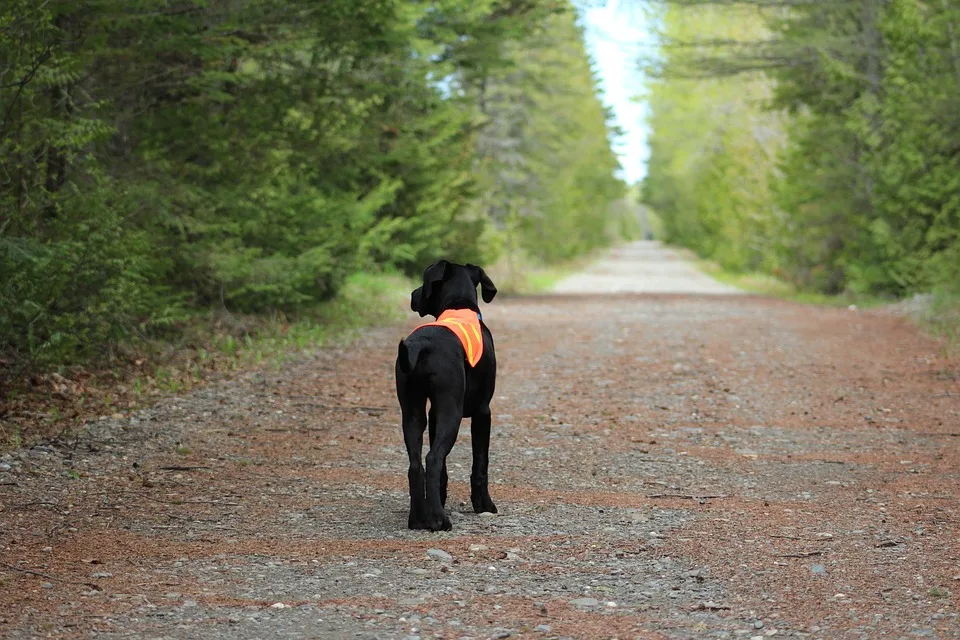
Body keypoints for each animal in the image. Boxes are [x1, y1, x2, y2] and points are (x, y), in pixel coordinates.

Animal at [394, 260, 498, 528]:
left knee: (416, 465)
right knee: (432, 460)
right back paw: (440, 520)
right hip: (452, 412)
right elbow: (480, 462)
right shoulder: (483, 411)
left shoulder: (433, 414)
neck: (459, 305)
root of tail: (422, 344)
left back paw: (419, 518)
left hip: (412, 412)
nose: (412, 295)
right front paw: (484, 505)